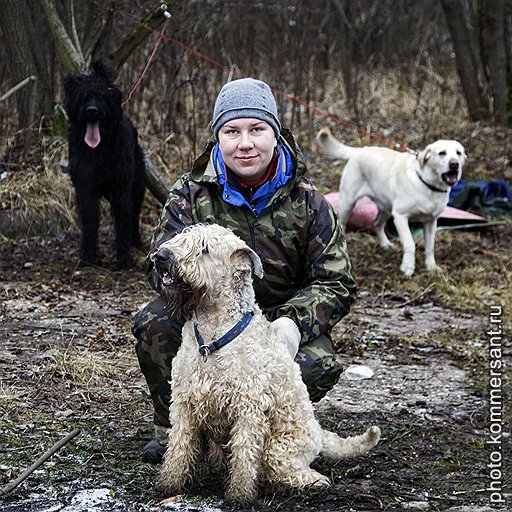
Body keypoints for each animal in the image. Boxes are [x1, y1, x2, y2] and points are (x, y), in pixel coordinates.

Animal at [63, 61, 145, 268]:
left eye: (102, 95)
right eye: (83, 96)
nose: (92, 110)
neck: (99, 151)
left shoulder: (121, 189)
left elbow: (123, 219)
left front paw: (124, 258)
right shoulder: (86, 188)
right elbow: (90, 220)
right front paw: (89, 256)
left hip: (137, 186)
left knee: (134, 213)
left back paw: (135, 241)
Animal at [152, 223, 380, 504]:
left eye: (204, 248)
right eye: (181, 235)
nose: (161, 256)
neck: (213, 333)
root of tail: (319, 433)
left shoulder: (247, 408)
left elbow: (244, 453)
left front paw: (240, 495)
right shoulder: (185, 402)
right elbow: (178, 445)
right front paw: (169, 484)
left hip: (279, 448)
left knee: (294, 469)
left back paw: (304, 482)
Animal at [314, 127, 466, 276]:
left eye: (458, 153)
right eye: (442, 153)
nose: (454, 164)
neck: (428, 185)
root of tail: (361, 149)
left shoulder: (431, 221)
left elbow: (430, 247)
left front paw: (431, 267)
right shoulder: (400, 217)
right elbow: (410, 244)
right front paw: (408, 267)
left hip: (386, 208)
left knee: (377, 223)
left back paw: (385, 244)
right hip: (348, 202)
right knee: (343, 225)